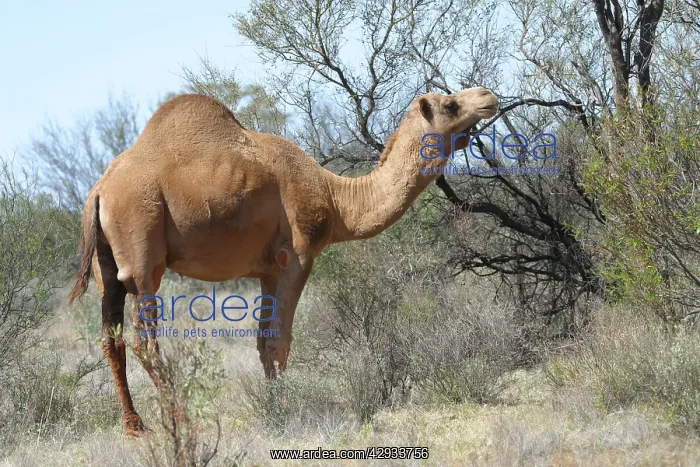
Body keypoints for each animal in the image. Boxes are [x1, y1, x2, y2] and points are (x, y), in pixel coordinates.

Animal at [67, 87, 498, 436]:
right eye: (450, 104)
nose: (488, 95)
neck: (336, 198)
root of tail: (98, 192)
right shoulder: (298, 255)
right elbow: (281, 339)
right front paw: (286, 410)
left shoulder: (267, 269)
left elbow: (262, 341)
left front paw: (272, 404)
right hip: (142, 248)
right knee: (145, 337)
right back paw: (180, 419)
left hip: (108, 267)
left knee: (111, 338)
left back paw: (135, 426)